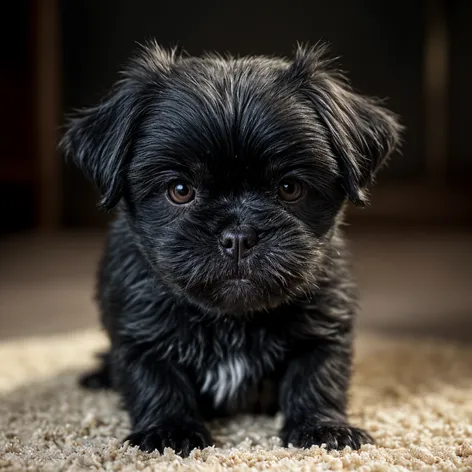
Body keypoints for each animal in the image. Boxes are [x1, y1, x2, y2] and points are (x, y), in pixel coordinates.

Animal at [60, 42, 402, 456]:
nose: (238, 235)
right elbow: (156, 380)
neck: (231, 320)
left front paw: (323, 428)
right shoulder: (138, 332)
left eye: (290, 188)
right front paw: (169, 431)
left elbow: (317, 376)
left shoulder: (326, 324)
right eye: (180, 190)